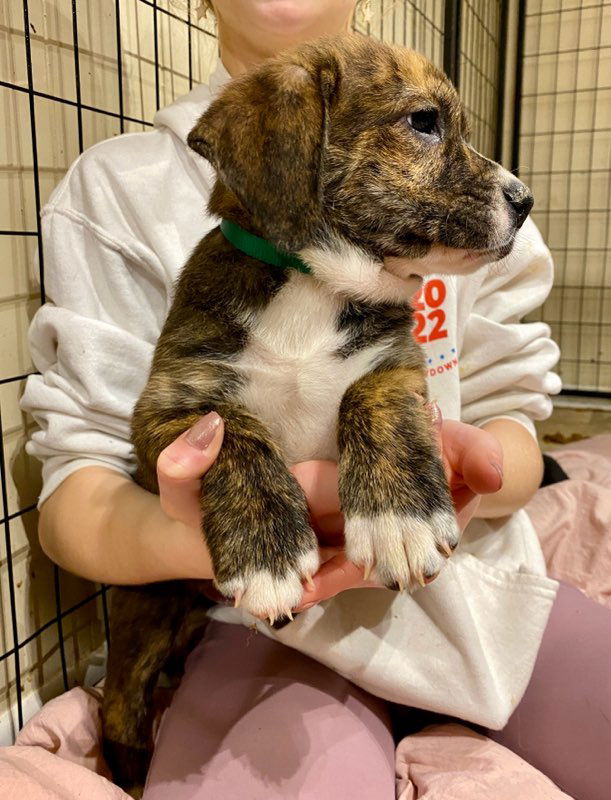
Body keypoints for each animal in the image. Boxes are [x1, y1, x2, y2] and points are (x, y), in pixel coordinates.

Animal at [100, 32, 532, 792]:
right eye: (424, 122)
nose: (526, 199)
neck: (314, 282)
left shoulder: (396, 366)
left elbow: (369, 395)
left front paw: (396, 520)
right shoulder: (167, 408)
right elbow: (236, 432)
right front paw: (267, 551)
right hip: (144, 609)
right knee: (119, 700)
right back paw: (127, 768)